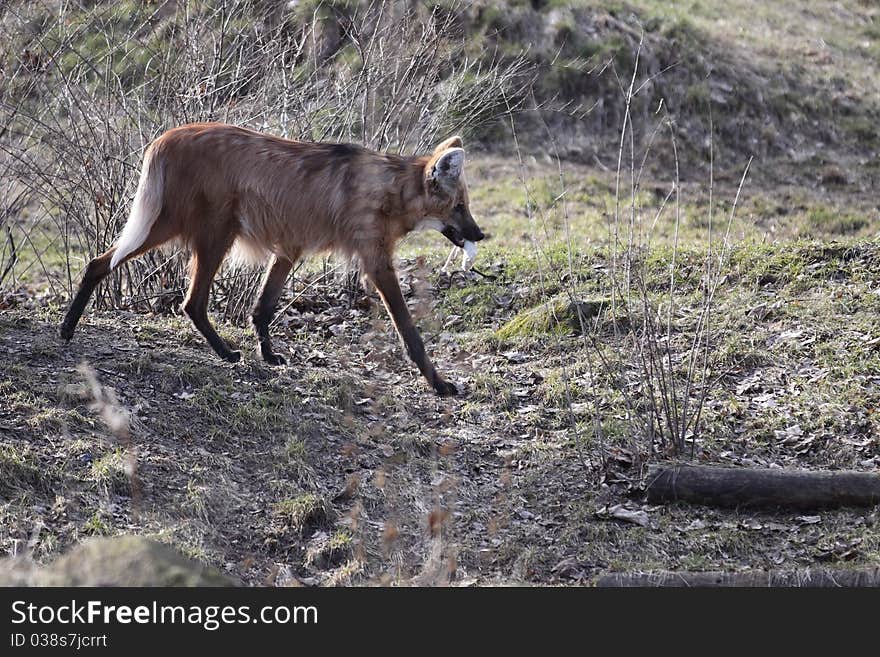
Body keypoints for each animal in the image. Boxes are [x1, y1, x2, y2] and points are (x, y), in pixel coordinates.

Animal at [60, 124, 488, 394]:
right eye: (460, 206)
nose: (480, 234)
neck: (391, 191)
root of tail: (166, 136)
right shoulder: (376, 261)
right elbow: (409, 330)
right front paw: (438, 383)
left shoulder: (288, 248)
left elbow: (262, 308)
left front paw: (268, 354)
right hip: (206, 232)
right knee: (190, 300)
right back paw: (225, 353)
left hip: (185, 228)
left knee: (98, 264)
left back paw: (67, 329)